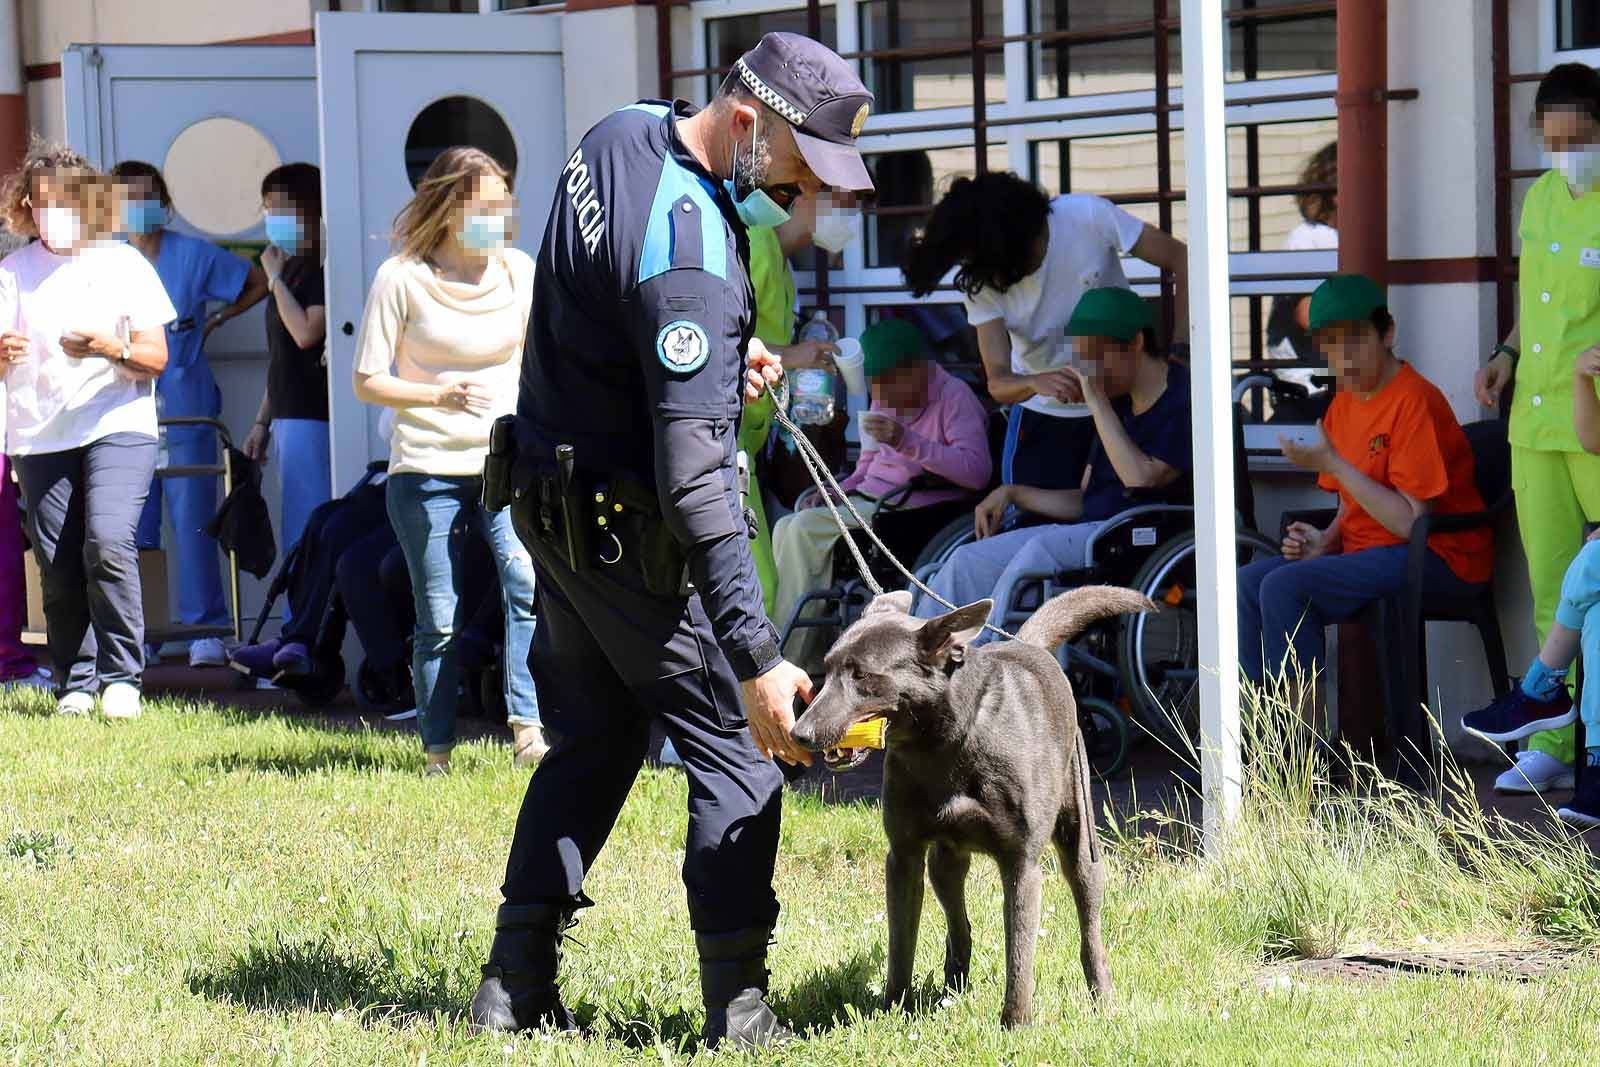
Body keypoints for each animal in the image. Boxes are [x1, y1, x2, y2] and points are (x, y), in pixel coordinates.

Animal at [793, 585, 1158, 1023]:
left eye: (861, 675)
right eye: (827, 669)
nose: (799, 733)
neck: (946, 745)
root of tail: (1027, 643)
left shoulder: (1021, 864)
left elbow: (1019, 953)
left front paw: (1015, 1024)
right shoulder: (904, 856)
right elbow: (901, 944)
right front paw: (894, 1009)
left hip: (1080, 843)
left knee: (1089, 927)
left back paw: (1101, 997)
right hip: (945, 863)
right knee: (959, 925)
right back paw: (953, 988)